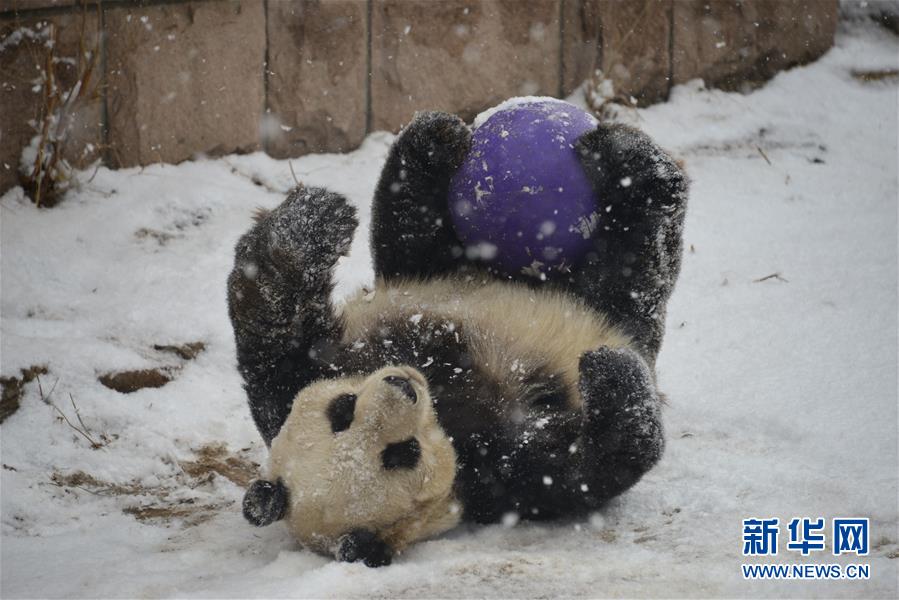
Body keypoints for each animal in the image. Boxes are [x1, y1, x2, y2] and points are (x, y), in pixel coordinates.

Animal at [227, 111, 688, 568]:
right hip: (619, 303)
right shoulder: (495, 477)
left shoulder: (316, 370)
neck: (442, 403)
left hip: (441, 274)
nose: (402, 386)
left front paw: (305, 227)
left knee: (413, 231)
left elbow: (275, 339)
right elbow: (589, 466)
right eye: (402, 453)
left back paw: (434, 141)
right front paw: (609, 373)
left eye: (343, 408)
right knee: (636, 261)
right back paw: (635, 167)